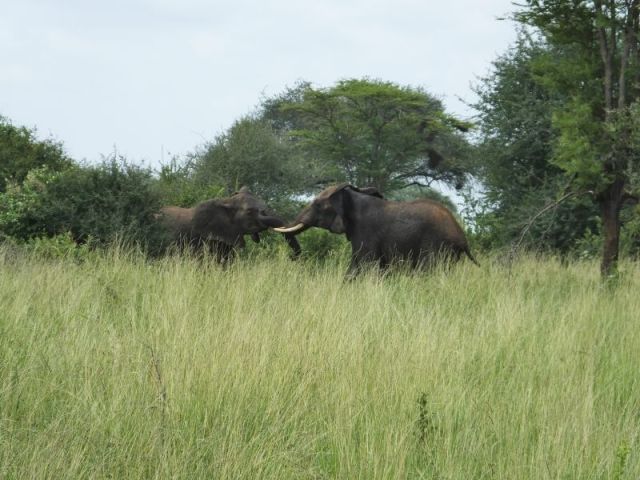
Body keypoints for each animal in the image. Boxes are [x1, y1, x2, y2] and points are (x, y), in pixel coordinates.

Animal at [274, 183, 478, 276]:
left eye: (317, 205)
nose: (291, 257)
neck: (351, 197)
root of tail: (462, 236)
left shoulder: (365, 231)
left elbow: (363, 264)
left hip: (436, 244)